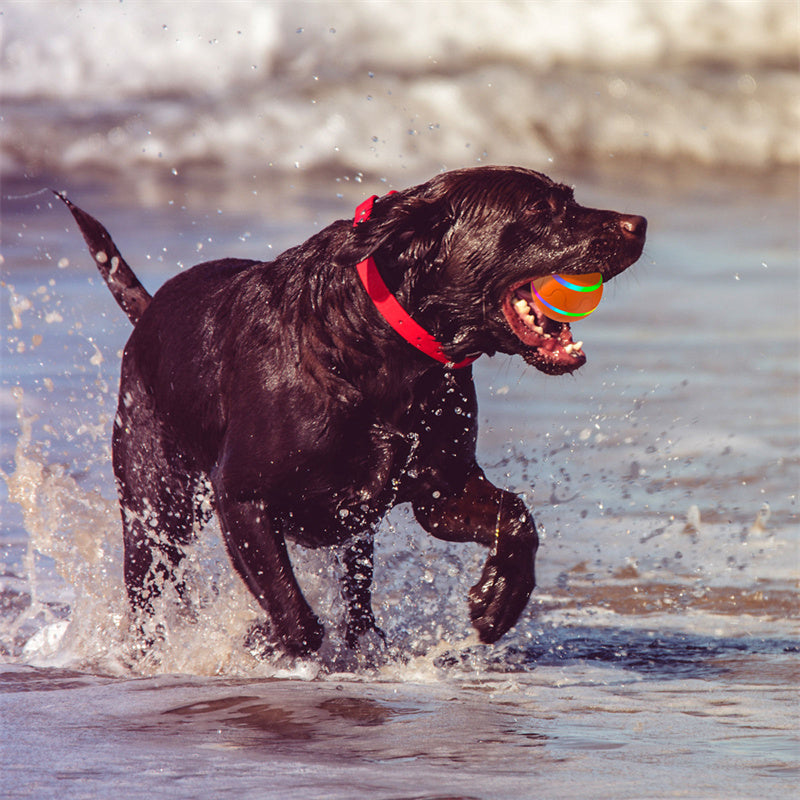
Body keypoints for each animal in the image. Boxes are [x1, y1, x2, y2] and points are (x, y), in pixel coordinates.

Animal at [59, 167, 648, 656]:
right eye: (539, 209)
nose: (639, 223)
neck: (383, 349)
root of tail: (148, 311)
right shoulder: (241, 496)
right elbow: (295, 617)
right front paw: (261, 638)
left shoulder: (442, 489)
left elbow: (517, 516)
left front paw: (500, 598)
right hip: (156, 506)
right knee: (148, 590)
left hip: (352, 535)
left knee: (358, 592)